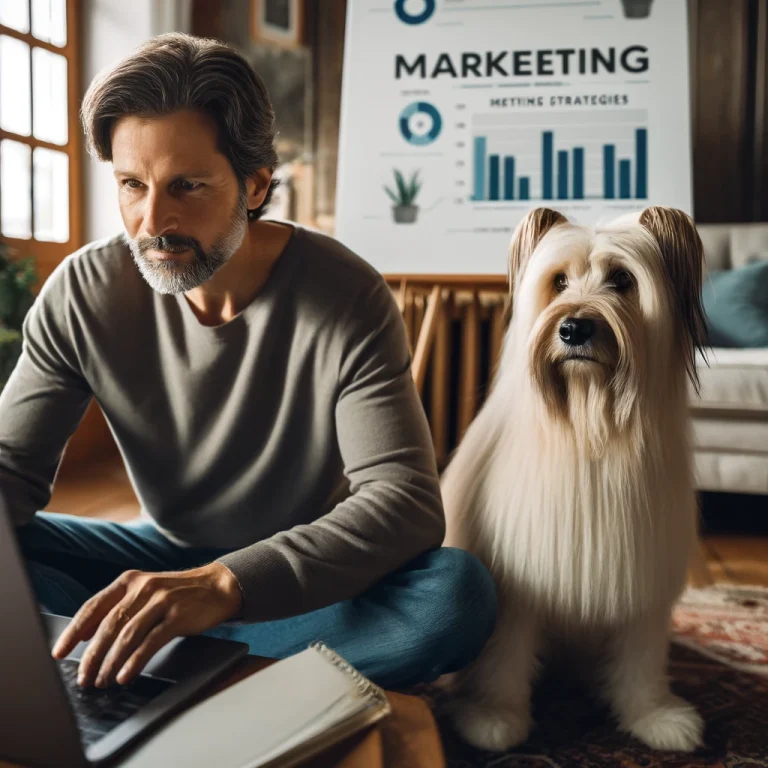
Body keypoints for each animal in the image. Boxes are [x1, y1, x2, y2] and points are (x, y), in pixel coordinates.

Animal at [444, 204, 708, 752]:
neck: (589, 425)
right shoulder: (519, 577)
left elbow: (641, 659)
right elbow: (505, 655)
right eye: (559, 281)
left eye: (623, 280)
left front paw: (654, 716)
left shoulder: (642, 577)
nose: (573, 329)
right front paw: (494, 715)